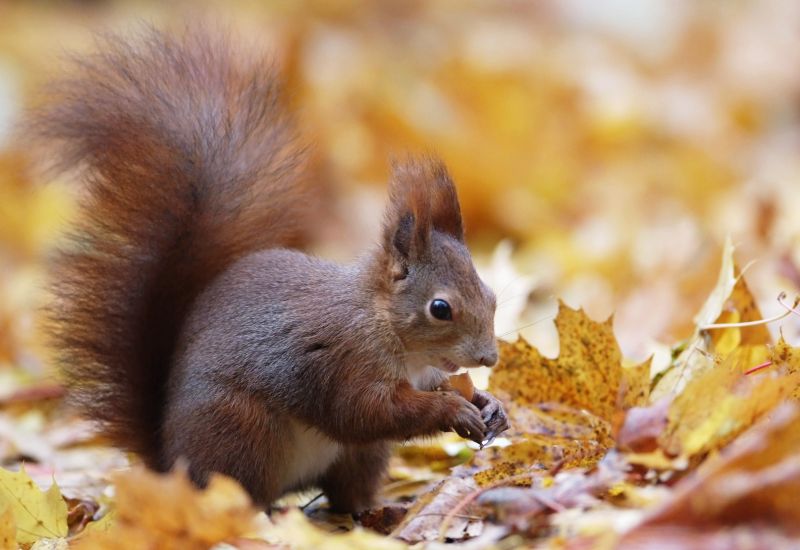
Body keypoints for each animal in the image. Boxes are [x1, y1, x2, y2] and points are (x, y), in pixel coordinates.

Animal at [34, 28, 510, 516]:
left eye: (492, 296)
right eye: (440, 308)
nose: (489, 358)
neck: (385, 326)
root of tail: (172, 466)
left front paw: (490, 404)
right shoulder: (340, 362)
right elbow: (366, 412)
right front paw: (453, 410)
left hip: (357, 456)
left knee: (346, 493)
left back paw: (374, 511)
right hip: (243, 431)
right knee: (244, 491)